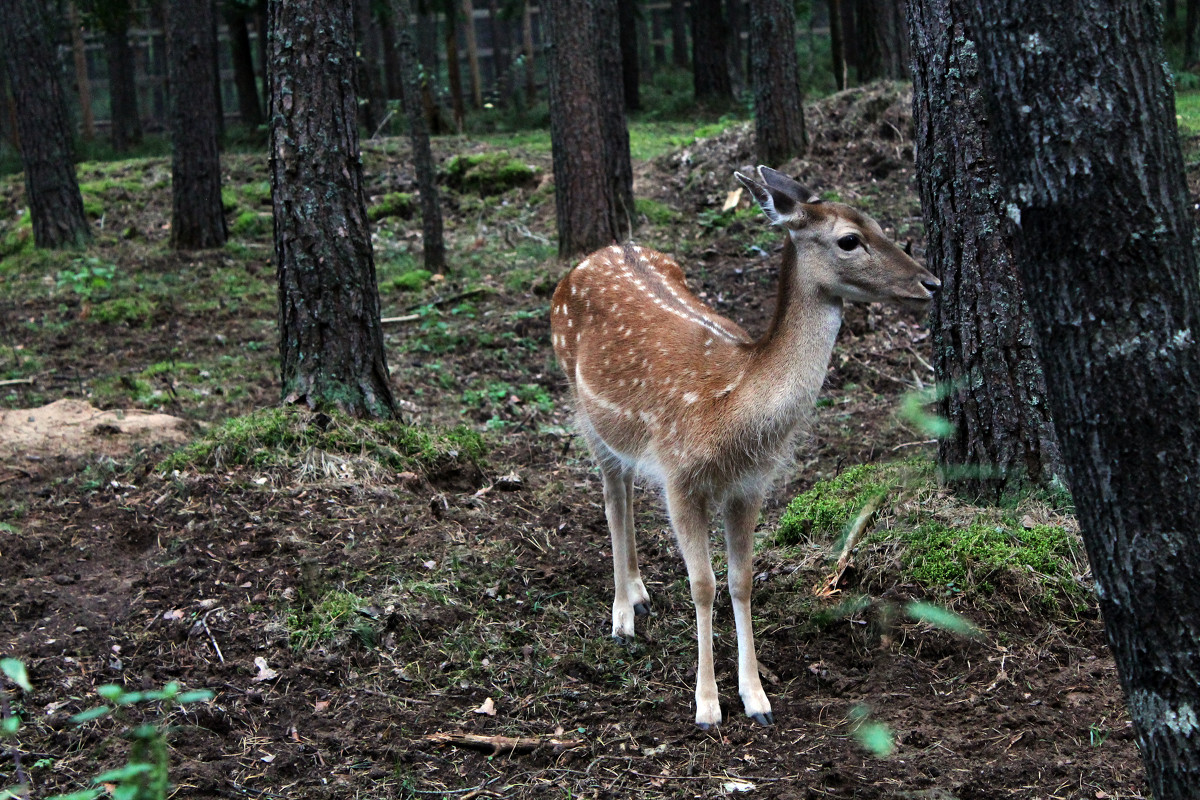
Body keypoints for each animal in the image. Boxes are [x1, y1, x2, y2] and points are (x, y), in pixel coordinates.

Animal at [549, 165, 940, 729]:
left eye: (880, 224)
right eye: (850, 240)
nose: (931, 281)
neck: (731, 410)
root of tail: (592, 256)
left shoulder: (750, 486)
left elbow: (741, 581)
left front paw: (756, 697)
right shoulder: (680, 478)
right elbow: (702, 584)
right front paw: (707, 705)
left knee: (625, 488)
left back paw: (640, 595)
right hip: (582, 405)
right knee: (612, 493)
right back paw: (623, 613)